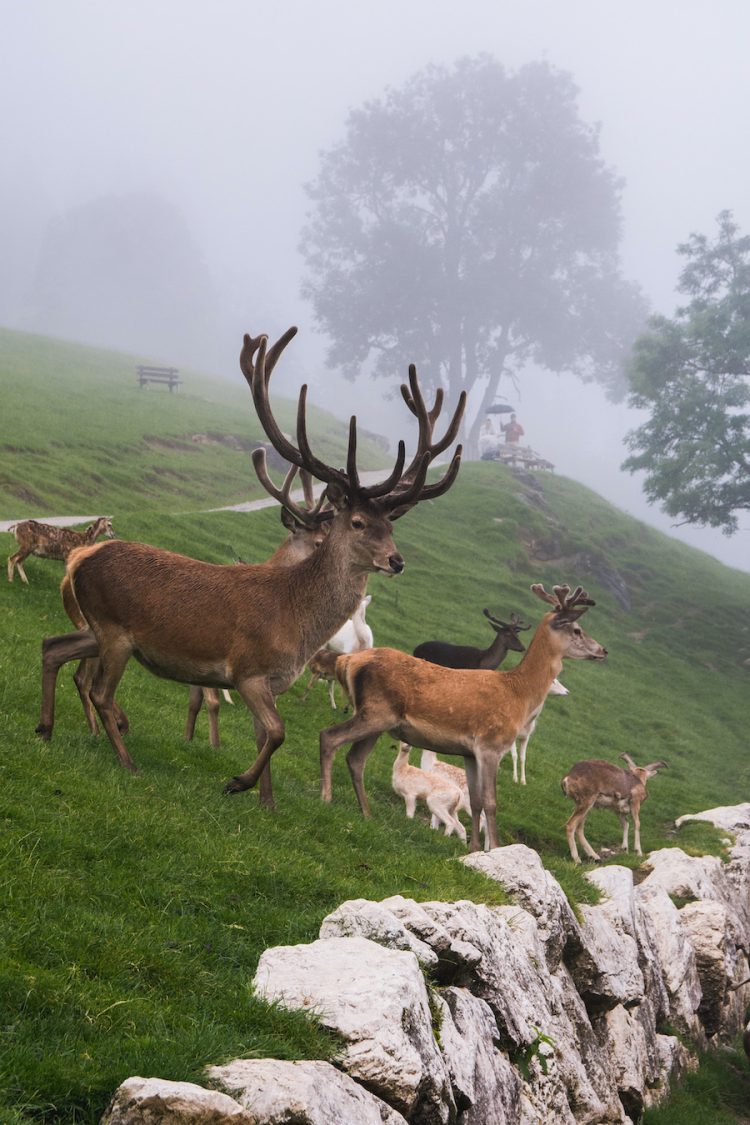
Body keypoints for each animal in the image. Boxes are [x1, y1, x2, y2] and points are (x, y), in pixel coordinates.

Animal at [41, 321, 465, 805]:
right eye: (358, 522)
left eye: (391, 526)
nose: (396, 561)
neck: (296, 624)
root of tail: (79, 561)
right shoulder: (247, 671)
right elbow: (278, 733)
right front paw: (238, 783)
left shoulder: (274, 681)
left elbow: (266, 735)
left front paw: (267, 802)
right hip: (115, 633)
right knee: (99, 692)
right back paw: (127, 761)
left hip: (95, 629)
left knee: (52, 646)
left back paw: (46, 728)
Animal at [319, 585, 607, 846]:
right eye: (577, 629)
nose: (603, 650)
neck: (519, 696)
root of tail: (348, 661)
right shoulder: (491, 745)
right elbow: (491, 802)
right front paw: (494, 849)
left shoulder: (469, 752)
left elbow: (476, 802)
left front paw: (473, 848)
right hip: (376, 712)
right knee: (328, 736)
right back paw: (326, 797)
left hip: (379, 720)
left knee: (355, 759)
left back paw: (366, 813)